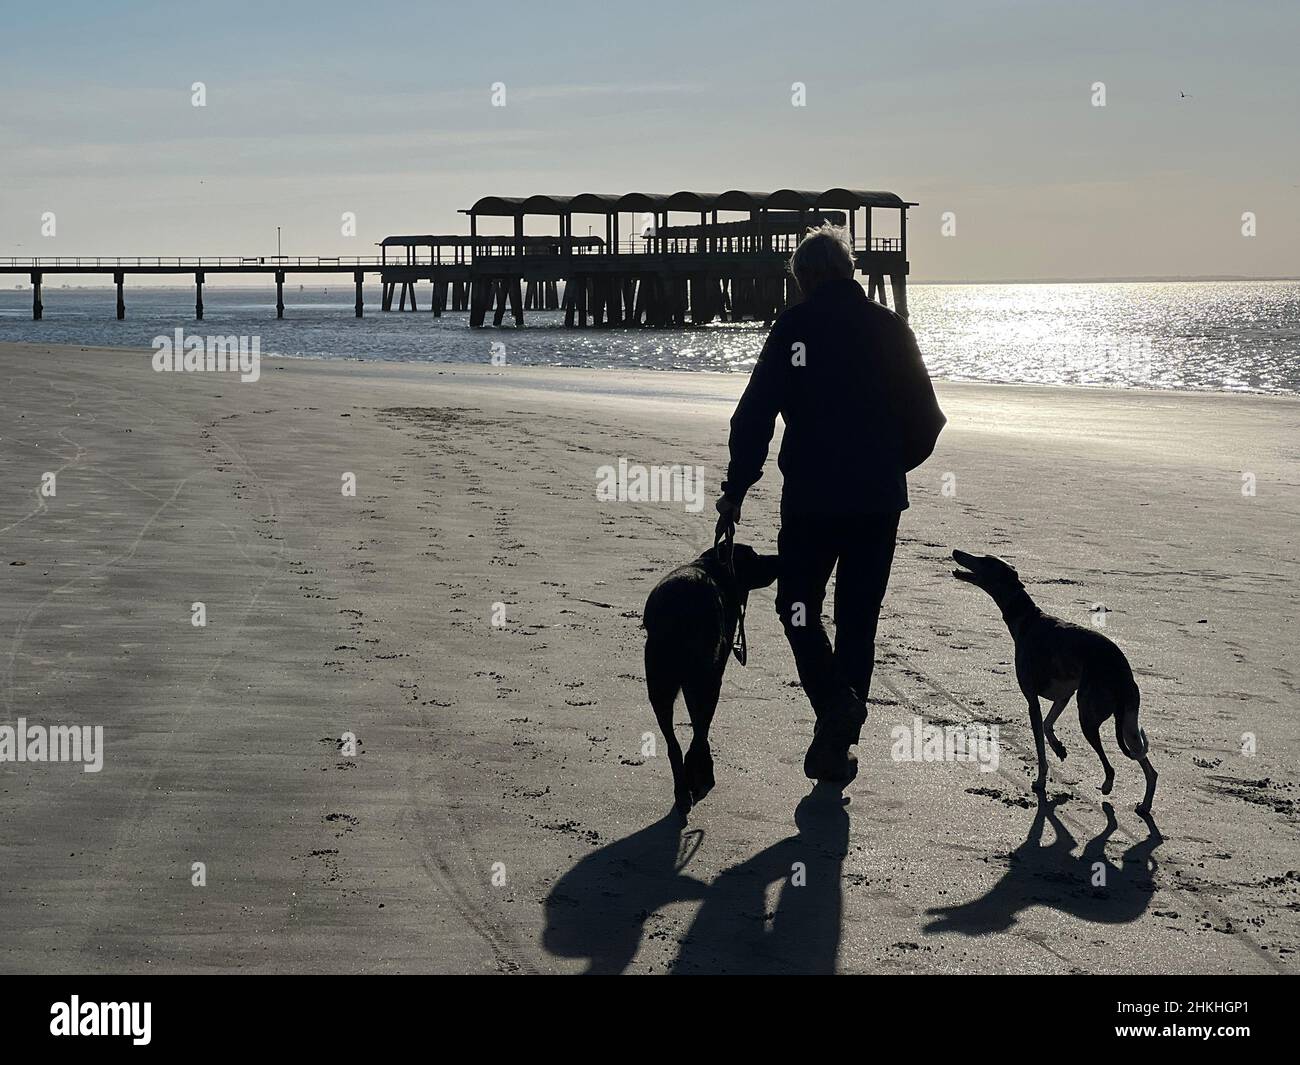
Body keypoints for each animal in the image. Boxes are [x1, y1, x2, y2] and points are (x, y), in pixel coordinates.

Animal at [642, 546, 774, 811]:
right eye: (754, 556)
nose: (778, 559)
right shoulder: (712, 674)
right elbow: (700, 726)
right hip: (706, 678)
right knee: (700, 728)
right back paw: (697, 775)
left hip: (660, 686)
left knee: (673, 744)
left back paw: (683, 789)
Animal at [946, 553, 1159, 811]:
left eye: (985, 560)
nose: (957, 551)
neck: (1026, 618)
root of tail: (1121, 673)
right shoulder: (1063, 695)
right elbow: (1048, 725)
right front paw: (1059, 748)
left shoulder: (1032, 700)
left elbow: (1040, 744)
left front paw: (1040, 780)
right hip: (1129, 725)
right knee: (1150, 769)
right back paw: (1145, 805)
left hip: (1089, 716)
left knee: (1111, 767)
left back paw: (1108, 786)